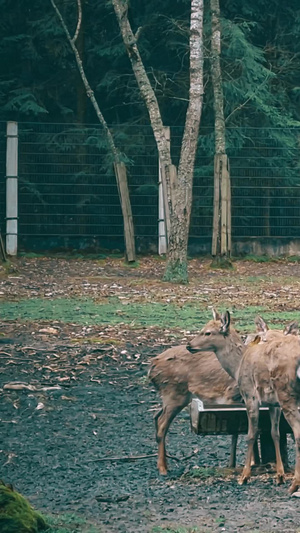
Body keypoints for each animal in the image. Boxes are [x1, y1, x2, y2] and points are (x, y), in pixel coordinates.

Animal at [148, 340, 244, 474]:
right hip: (174, 393)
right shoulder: (231, 396)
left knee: (156, 416)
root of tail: (153, 364)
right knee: (162, 423)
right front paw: (234, 464)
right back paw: (163, 468)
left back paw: (165, 462)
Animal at [185, 310, 300, 492]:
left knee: (298, 433)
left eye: (208, 332)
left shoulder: (250, 395)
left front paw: (244, 476)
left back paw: (295, 484)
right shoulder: (273, 404)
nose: (189, 345)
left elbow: (251, 434)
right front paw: (279, 476)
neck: (237, 367)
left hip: (287, 395)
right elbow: (274, 433)